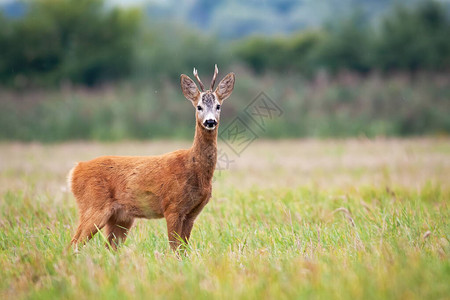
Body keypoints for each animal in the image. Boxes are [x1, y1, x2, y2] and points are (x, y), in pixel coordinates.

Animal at [68, 65, 236, 251]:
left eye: (218, 106)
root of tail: (76, 169)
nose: (210, 121)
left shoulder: (192, 213)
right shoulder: (172, 206)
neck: (194, 169)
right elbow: (174, 248)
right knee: (73, 244)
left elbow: (183, 249)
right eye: (199, 107)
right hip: (93, 205)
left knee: (108, 248)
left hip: (120, 217)